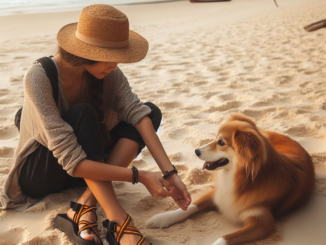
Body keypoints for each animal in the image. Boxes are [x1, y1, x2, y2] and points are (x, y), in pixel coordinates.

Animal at [146, 114, 314, 245]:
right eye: (215, 138)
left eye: (221, 143)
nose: (196, 151)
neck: (241, 180)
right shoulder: (219, 193)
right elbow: (190, 207)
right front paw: (162, 218)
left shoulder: (263, 222)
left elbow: (224, 238)